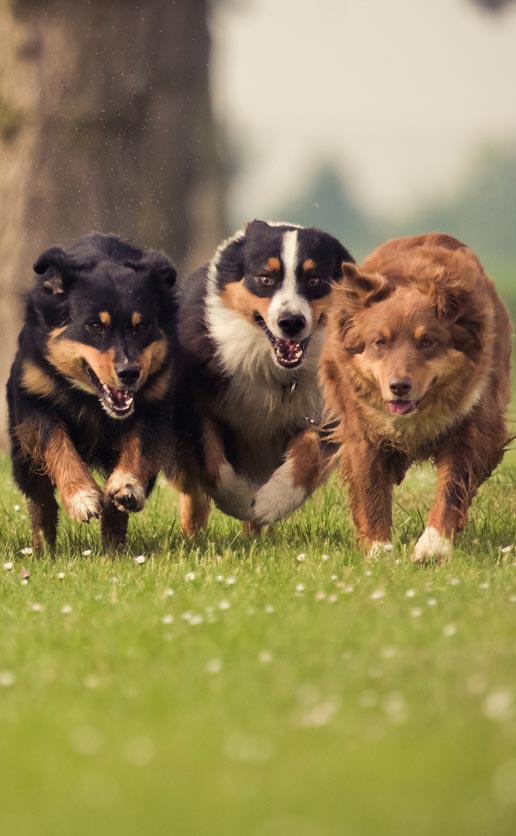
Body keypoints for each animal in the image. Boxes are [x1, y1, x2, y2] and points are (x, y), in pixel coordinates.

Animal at [7, 232, 177, 552]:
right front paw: (82, 497)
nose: (129, 373)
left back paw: (113, 549)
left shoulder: (154, 404)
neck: (89, 398)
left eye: (142, 326)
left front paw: (127, 485)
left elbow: (138, 444)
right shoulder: (34, 400)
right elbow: (57, 444)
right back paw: (44, 549)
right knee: (40, 499)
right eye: (95, 325)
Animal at [171, 220, 352, 536]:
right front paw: (241, 501)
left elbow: (308, 456)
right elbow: (211, 462)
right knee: (192, 491)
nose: (291, 322)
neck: (274, 370)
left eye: (314, 280)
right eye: (265, 278)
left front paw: (270, 502)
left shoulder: (325, 412)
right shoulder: (196, 406)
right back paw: (193, 535)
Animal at [322, 233, 512, 560]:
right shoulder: (361, 429)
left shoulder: (472, 426)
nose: (399, 386)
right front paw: (380, 550)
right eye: (379, 342)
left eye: (427, 341)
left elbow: (452, 486)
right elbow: (370, 488)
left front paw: (433, 546)